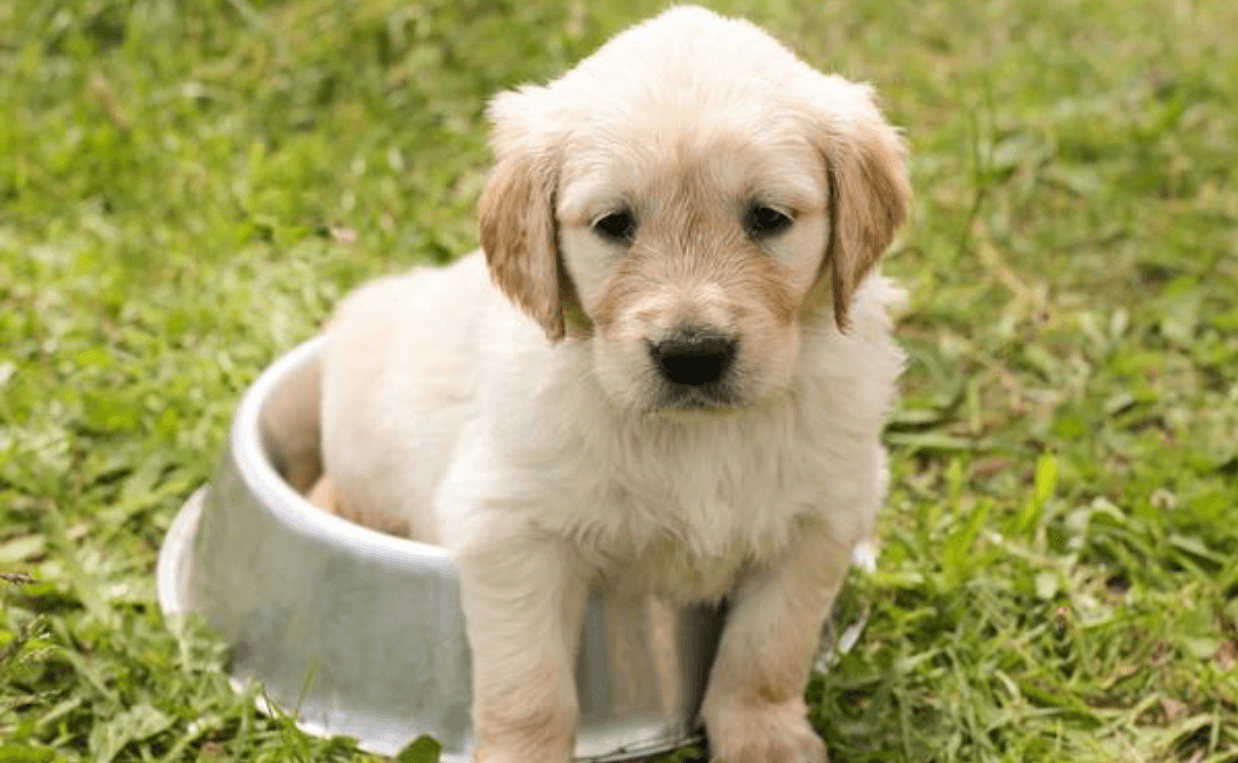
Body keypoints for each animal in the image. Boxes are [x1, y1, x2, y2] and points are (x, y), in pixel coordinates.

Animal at [314, 7, 906, 763]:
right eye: (613, 224)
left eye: (769, 217)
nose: (692, 354)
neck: (697, 435)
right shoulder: (509, 528)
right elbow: (529, 687)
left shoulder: (822, 518)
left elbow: (768, 650)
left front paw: (765, 738)